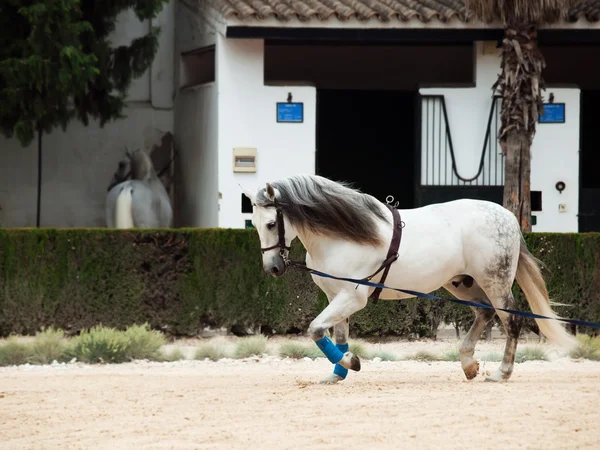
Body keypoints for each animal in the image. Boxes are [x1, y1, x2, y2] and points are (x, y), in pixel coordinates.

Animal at [241, 174, 580, 384]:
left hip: (494, 281)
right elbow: (336, 336)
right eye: (254, 223)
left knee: (511, 320)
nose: (273, 268)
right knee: (483, 313)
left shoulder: (352, 297)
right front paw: (338, 372)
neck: (342, 236)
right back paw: (469, 364)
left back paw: (501, 373)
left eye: (271, 223)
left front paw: (352, 363)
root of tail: (507, 216)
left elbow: (314, 330)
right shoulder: (336, 298)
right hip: (461, 283)